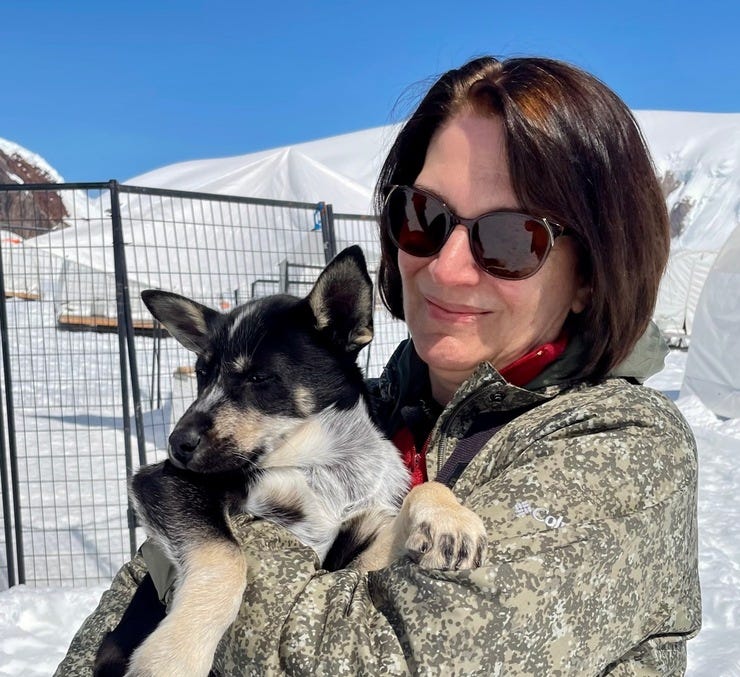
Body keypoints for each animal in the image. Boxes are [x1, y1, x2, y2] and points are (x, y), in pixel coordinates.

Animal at [94, 246, 486, 676]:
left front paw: (449, 519)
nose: (176, 444)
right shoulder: (164, 481)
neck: (321, 462)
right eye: (201, 374)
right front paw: (174, 655)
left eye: (258, 377)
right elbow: (227, 556)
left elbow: (422, 493)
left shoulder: (355, 560)